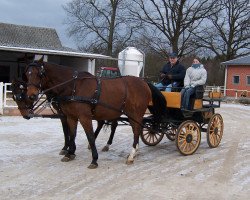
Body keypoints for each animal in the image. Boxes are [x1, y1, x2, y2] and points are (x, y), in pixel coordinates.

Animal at [24, 58, 167, 169]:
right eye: (27, 74)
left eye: (39, 74)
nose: (31, 95)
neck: (74, 86)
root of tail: (144, 82)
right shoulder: (71, 116)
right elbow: (72, 134)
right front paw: (70, 153)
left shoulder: (84, 117)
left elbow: (90, 136)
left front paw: (94, 159)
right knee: (132, 129)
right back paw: (134, 151)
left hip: (135, 113)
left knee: (136, 130)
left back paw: (131, 155)